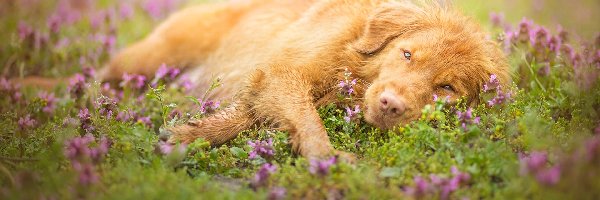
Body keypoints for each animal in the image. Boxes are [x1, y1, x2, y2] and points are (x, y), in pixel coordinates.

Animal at [96, 0, 508, 160]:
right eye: (407, 54)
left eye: (446, 88)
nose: (390, 105)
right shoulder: (284, 73)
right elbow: (308, 118)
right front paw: (326, 157)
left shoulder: (267, 83)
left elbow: (245, 117)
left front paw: (190, 134)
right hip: (151, 56)